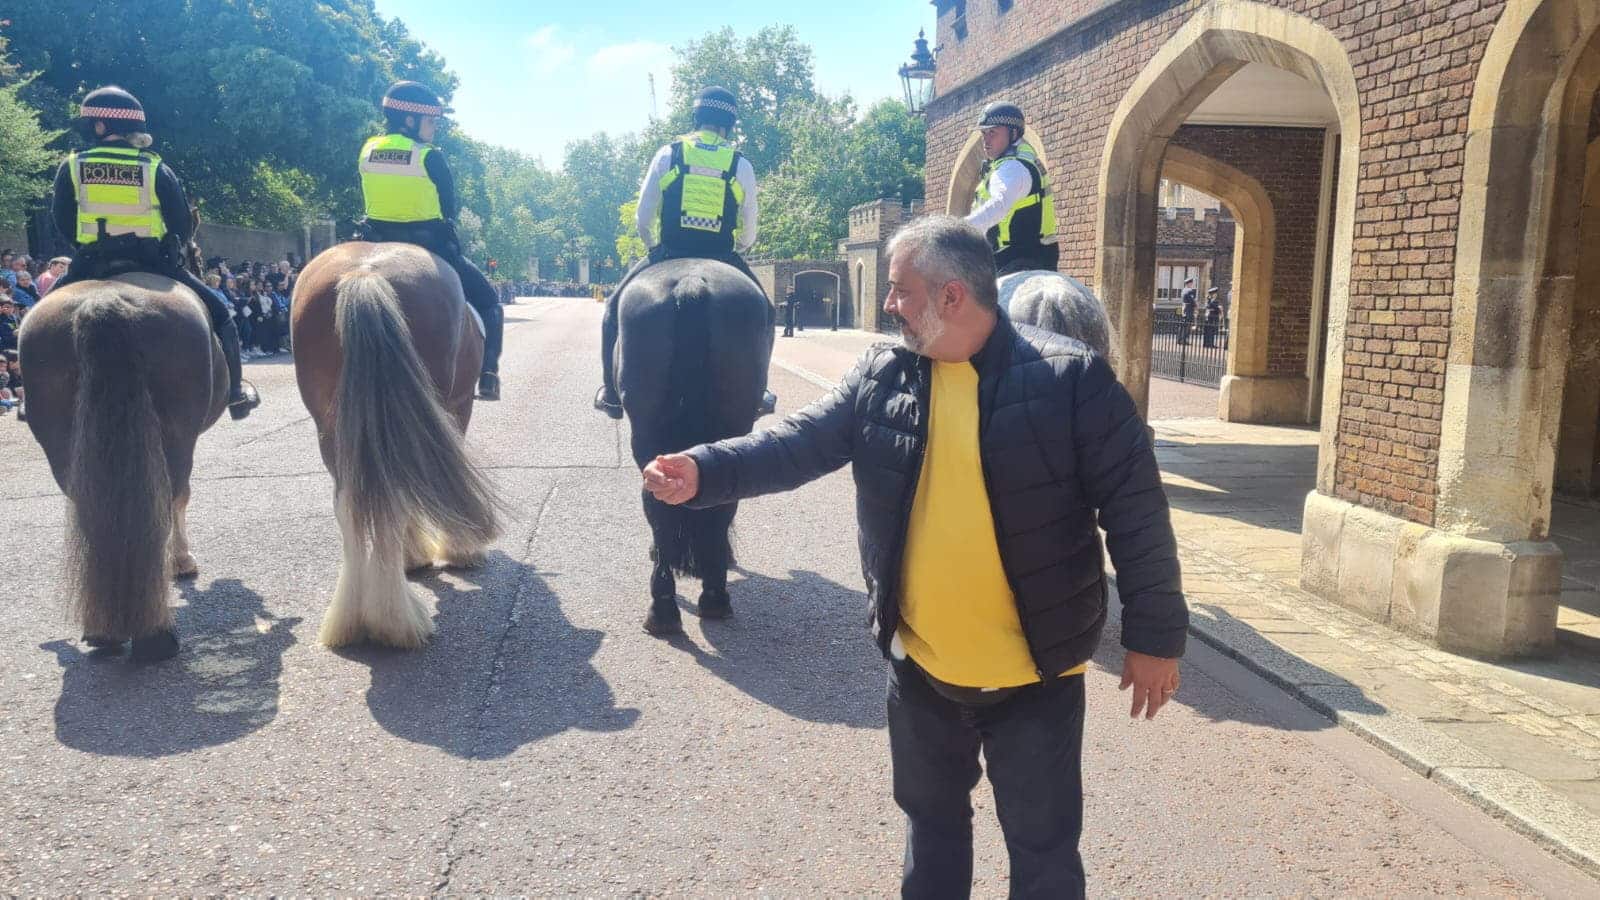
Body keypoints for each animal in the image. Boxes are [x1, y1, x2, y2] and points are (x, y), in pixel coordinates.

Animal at [19, 269, 228, 662]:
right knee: (167, 502)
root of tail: (103, 301)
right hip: (176, 438)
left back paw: (105, 629)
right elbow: (181, 500)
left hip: (62, 445)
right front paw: (182, 561)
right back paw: (154, 633)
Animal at [290, 241, 500, 649]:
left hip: (333, 429)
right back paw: (395, 622)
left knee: (350, 506)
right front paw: (457, 547)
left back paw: (351, 620)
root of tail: (364, 274)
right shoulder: (458, 407)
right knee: (395, 498)